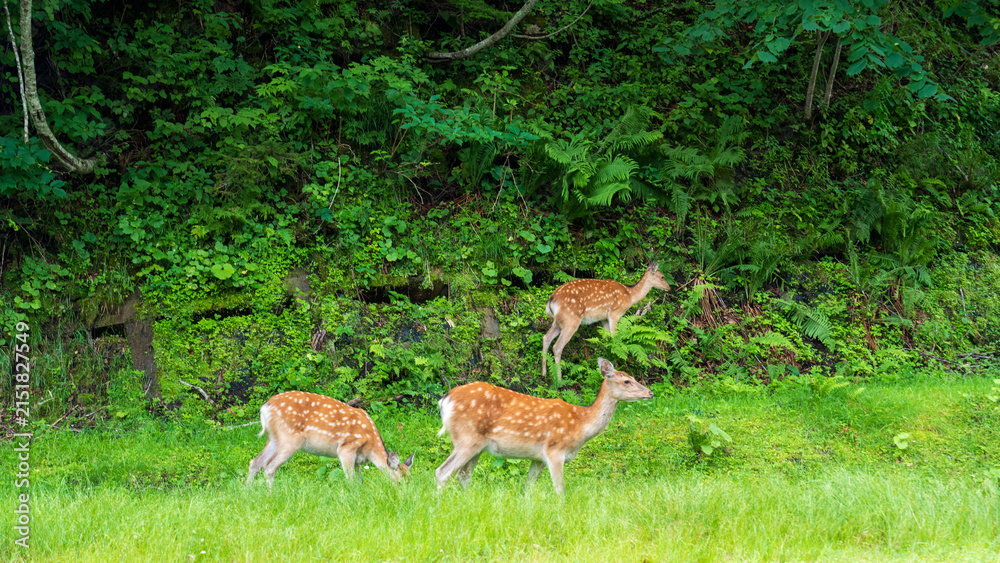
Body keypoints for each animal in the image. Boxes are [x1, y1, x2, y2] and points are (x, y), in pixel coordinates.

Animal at [247, 390, 413, 487]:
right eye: (400, 481)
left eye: (411, 480)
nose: (405, 496)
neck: (370, 447)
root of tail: (265, 407)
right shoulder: (347, 448)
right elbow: (351, 479)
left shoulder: (358, 460)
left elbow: (360, 479)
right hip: (290, 439)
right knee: (269, 467)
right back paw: (270, 494)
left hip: (274, 438)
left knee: (255, 462)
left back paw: (249, 492)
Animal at [435, 358, 653, 494]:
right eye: (627, 381)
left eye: (634, 378)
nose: (650, 392)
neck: (581, 425)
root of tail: (445, 401)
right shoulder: (554, 449)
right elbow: (560, 489)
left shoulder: (537, 458)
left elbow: (528, 487)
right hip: (467, 438)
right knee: (443, 472)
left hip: (478, 446)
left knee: (463, 476)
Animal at [542, 262, 671, 383]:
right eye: (662, 277)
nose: (669, 288)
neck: (629, 295)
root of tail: (551, 301)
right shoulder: (615, 313)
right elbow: (614, 338)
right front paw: (617, 366)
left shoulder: (603, 318)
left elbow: (607, 340)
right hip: (571, 320)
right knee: (557, 346)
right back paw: (559, 379)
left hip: (558, 322)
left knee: (546, 338)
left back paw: (543, 373)